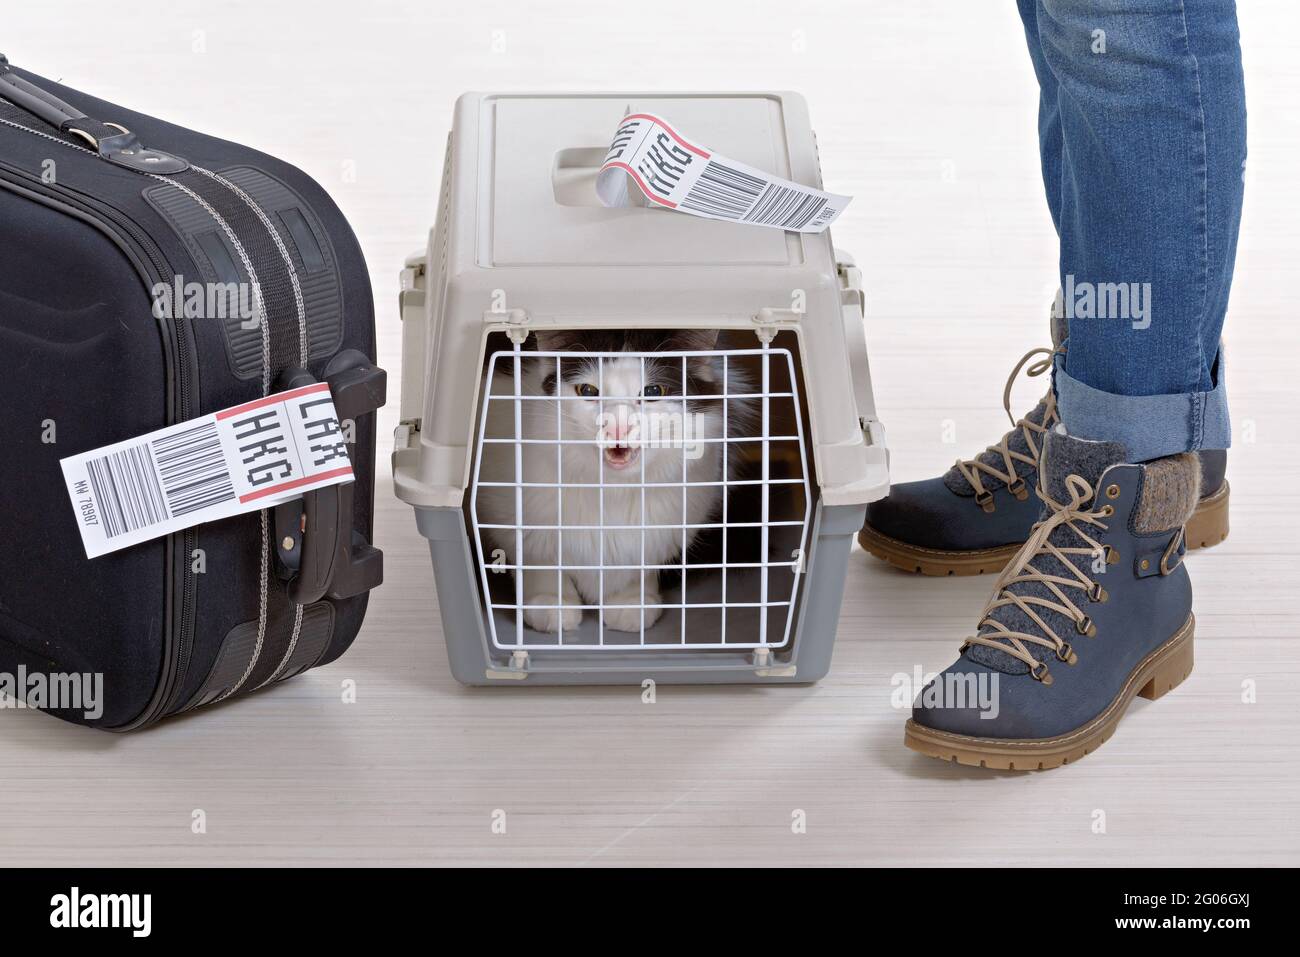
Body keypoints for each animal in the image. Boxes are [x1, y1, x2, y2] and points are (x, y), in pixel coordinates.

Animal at [478, 328, 748, 634]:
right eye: (588, 391)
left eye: (653, 392)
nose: (618, 427)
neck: (612, 490)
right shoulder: (514, 519)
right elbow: (540, 561)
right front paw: (552, 604)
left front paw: (631, 603)